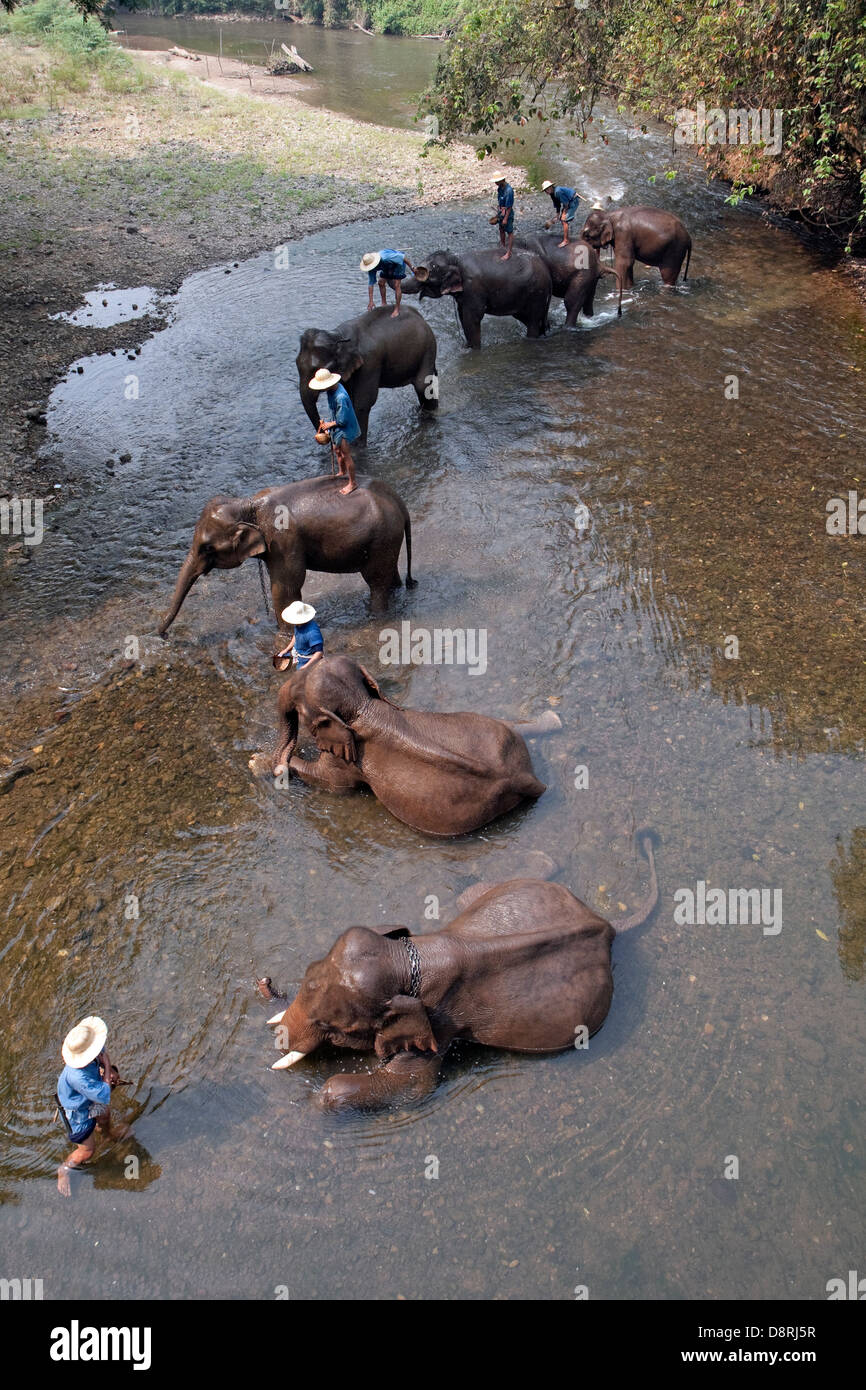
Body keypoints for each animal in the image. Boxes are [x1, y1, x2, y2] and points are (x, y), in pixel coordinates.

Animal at [157, 474, 415, 637]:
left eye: (207, 548)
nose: (162, 635)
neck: (247, 504)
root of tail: (399, 501)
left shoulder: (283, 539)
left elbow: (285, 588)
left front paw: (284, 635)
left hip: (381, 538)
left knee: (376, 581)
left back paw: (375, 616)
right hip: (386, 540)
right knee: (389, 574)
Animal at [248, 654, 560, 835]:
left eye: (299, 707)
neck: (362, 706)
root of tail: (526, 776)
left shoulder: (348, 760)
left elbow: (330, 783)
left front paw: (256, 763)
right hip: (487, 726)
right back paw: (552, 718)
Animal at [264, 833, 659, 1109]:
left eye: (334, 1028)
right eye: (308, 969)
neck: (407, 959)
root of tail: (606, 926)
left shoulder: (435, 1028)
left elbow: (411, 1087)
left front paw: (314, 1101)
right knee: (475, 892)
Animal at [296, 306, 438, 444]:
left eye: (317, 370)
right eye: (296, 365)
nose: (325, 435)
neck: (338, 335)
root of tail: (420, 316)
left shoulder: (370, 363)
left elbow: (362, 403)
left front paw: (357, 447)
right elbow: (349, 398)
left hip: (428, 347)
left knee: (422, 386)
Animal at [401, 247, 551, 349]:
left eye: (429, 275)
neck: (457, 259)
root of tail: (548, 272)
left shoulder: (473, 288)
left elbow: (471, 319)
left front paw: (474, 351)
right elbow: (463, 316)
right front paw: (467, 347)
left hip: (537, 293)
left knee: (533, 320)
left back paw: (532, 340)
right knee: (530, 318)